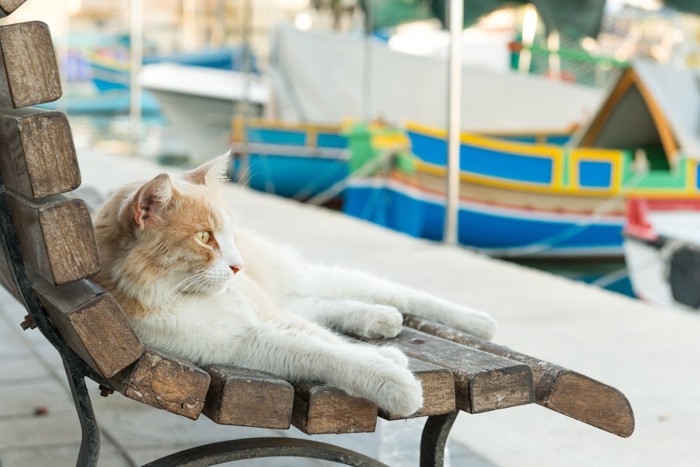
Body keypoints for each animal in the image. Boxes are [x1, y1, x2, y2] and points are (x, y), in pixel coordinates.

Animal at [93, 157, 498, 416]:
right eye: (205, 237)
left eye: (227, 232)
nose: (238, 266)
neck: (179, 297)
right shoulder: (246, 344)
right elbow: (323, 351)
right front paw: (389, 371)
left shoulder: (264, 317)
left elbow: (327, 340)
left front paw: (385, 359)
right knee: (319, 306)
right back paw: (378, 320)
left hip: (292, 280)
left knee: (385, 291)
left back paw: (478, 322)